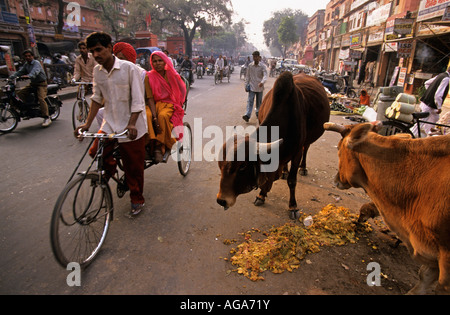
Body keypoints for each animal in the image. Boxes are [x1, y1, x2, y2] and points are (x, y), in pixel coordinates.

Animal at [216, 71, 328, 220]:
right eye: (221, 164)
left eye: (243, 166)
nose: (221, 200)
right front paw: (261, 195)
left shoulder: (297, 152)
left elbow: (292, 181)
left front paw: (293, 206)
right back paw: (284, 171)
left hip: (308, 140)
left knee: (306, 149)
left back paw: (303, 168)